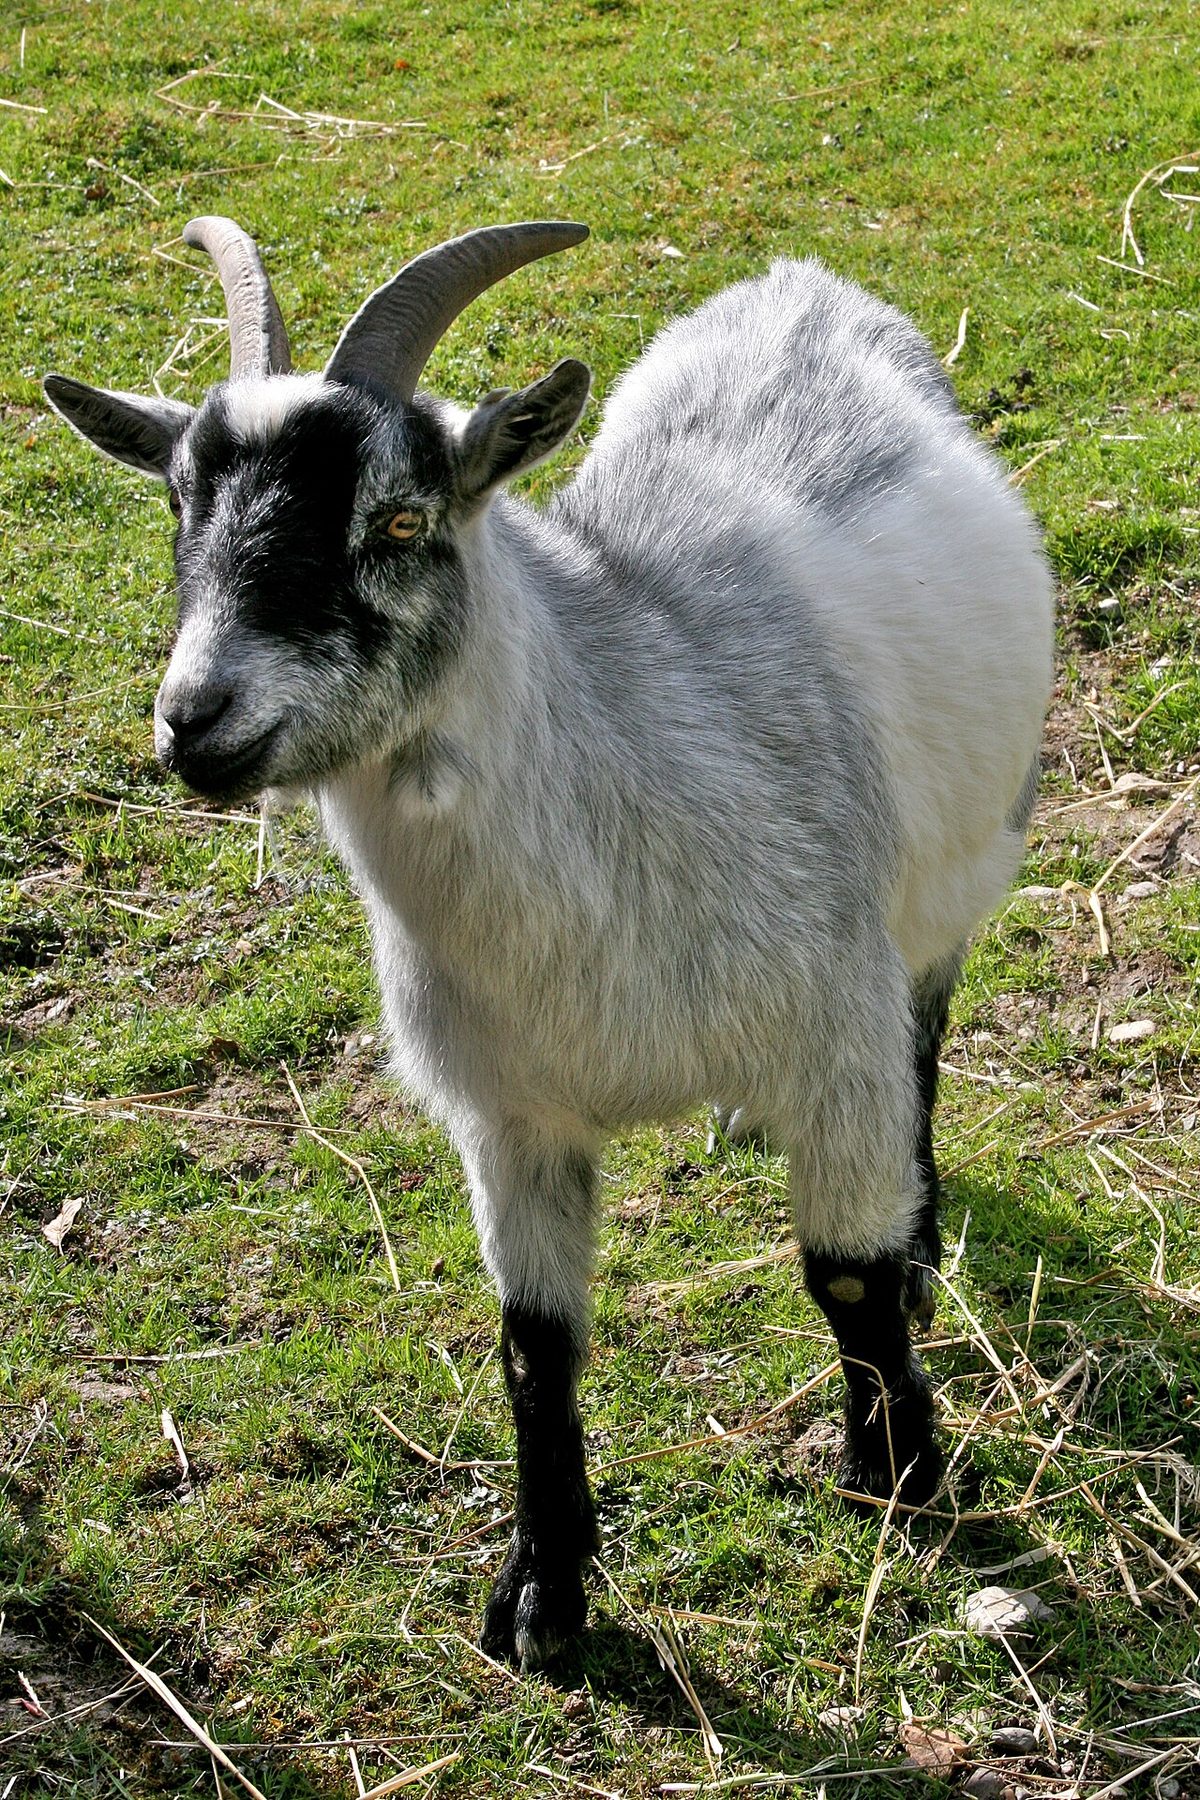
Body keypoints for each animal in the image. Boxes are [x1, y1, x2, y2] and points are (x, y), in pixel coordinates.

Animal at [45, 215, 1054, 1670]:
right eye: (179, 506)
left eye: (400, 518)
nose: (197, 721)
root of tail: (800, 287)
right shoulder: (509, 1120)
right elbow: (536, 1349)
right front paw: (540, 1598)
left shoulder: (832, 1032)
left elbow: (846, 1281)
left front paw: (901, 1473)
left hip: (951, 889)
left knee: (927, 1040)